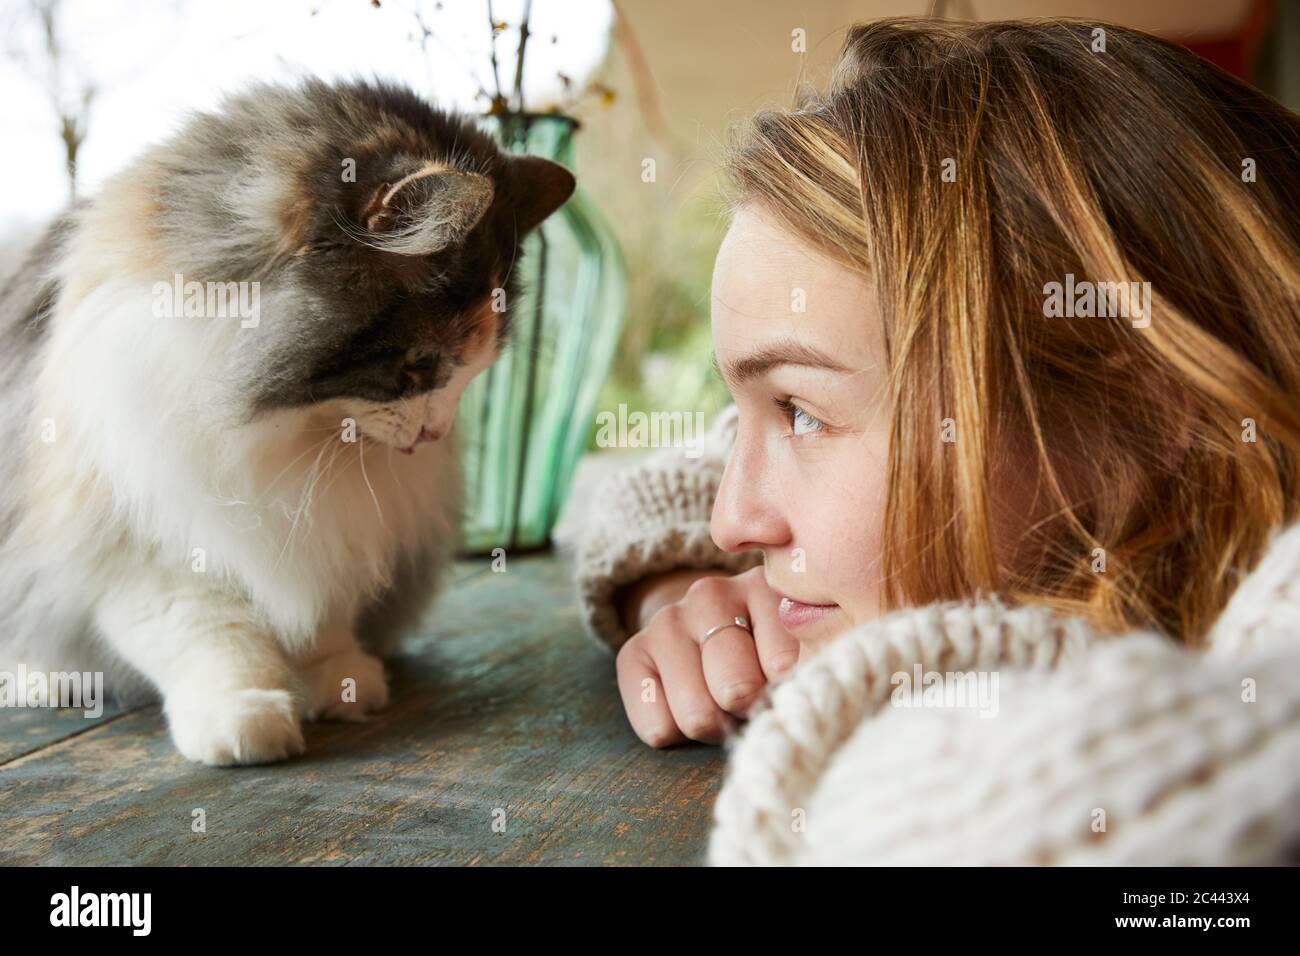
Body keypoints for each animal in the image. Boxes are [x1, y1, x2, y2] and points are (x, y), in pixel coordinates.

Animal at [0, 80, 574, 770]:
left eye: (476, 370)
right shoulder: (140, 549)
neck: (280, 433)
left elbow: (322, 616)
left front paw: (342, 685)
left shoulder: (332, 525)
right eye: (419, 365)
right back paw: (38, 679)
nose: (435, 434)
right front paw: (245, 719)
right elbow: (211, 637)